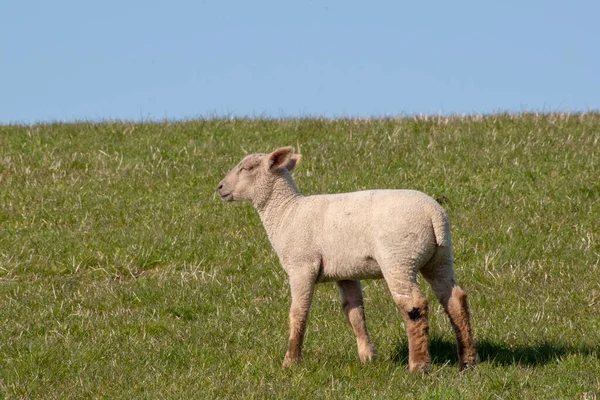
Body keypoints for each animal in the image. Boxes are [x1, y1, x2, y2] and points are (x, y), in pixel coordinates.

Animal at [217, 146, 478, 372]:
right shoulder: (345, 273)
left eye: (247, 167)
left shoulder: (302, 266)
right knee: (454, 299)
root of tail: (434, 213)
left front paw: (290, 361)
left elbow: (298, 313)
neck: (286, 212)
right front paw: (367, 356)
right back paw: (467, 362)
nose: (219, 187)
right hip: (440, 258)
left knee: (414, 305)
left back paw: (419, 366)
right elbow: (354, 313)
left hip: (399, 258)